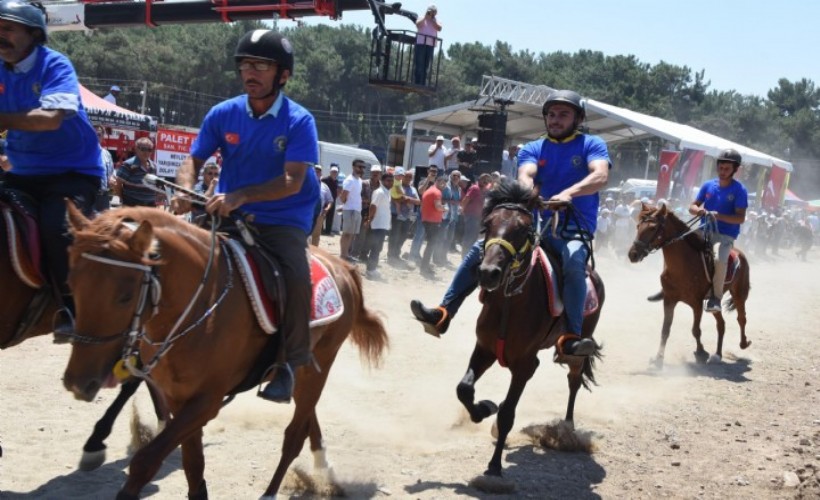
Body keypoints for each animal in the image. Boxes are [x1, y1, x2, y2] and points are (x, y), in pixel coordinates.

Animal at [60, 204, 388, 500]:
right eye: (71, 284)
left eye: (125, 296)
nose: (78, 382)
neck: (203, 303)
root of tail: (342, 267)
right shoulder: (180, 399)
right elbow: (193, 466)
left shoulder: (207, 401)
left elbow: (145, 462)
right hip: (304, 370)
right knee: (308, 418)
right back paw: (325, 469)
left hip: (320, 362)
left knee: (294, 435)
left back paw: (273, 491)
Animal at [454, 181, 604, 480]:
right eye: (487, 224)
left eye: (524, 230)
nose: (488, 272)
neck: (509, 303)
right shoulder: (485, 348)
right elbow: (464, 389)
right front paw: (483, 409)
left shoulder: (525, 365)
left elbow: (507, 414)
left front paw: (494, 467)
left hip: (578, 346)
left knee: (574, 379)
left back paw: (567, 430)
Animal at [628, 201, 748, 370]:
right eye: (638, 226)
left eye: (652, 228)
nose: (633, 254)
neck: (683, 265)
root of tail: (740, 254)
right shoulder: (669, 300)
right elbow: (665, 330)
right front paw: (658, 359)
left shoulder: (696, 303)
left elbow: (695, 330)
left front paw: (701, 353)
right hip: (713, 302)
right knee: (721, 324)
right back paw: (717, 355)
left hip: (739, 294)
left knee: (741, 318)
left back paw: (744, 343)